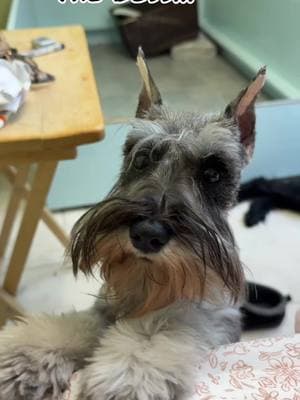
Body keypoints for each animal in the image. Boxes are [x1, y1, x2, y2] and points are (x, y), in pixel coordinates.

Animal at [0, 50, 264, 400]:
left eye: (212, 174)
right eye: (142, 159)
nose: (147, 234)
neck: (146, 285)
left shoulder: (203, 317)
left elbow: (158, 330)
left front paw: (128, 379)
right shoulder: (102, 310)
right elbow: (77, 325)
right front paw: (23, 357)